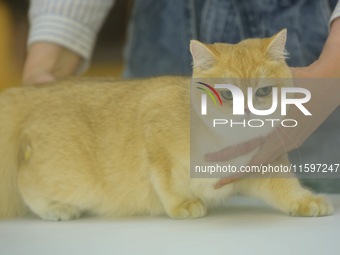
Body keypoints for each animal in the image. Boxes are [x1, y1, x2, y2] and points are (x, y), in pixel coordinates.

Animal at [0, 29, 332, 220]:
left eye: (263, 92)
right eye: (226, 94)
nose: (247, 111)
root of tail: (38, 92)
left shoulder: (263, 166)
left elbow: (287, 189)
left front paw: (309, 201)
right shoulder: (154, 128)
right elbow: (166, 181)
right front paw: (182, 204)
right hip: (67, 178)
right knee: (25, 183)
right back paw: (55, 209)